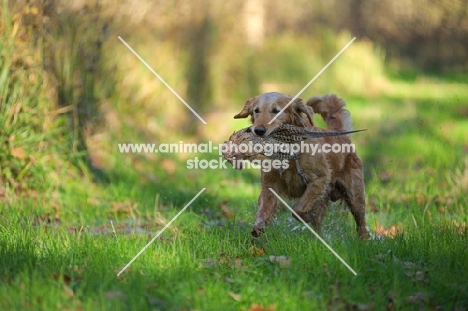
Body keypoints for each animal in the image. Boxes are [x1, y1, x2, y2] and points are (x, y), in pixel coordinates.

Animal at [232, 92, 368, 239]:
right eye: (256, 110)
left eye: (276, 110)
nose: (258, 130)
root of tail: (343, 136)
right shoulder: (270, 184)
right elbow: (264, 208)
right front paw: (259, 226)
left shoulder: (320, 179)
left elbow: (298, 209)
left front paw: (305, 216)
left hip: (355, 195)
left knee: (361, 222)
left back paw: (363, 240)